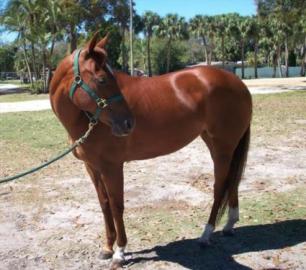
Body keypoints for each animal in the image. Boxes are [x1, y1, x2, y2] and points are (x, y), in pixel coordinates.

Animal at [49, 33, 251, 264]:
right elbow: (104, 204)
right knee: (233, 182)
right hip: (218, 144)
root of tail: (238, 83)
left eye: (110, 78)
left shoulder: (112, 167)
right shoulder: (92, 167)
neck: (88, 120)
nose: (128, 123)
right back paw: (229, 225)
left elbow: (117, 205)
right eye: (102, 79)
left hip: (222, 148)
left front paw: (120, 252)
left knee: (220, 187)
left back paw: (206, 235)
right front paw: (107, 248)